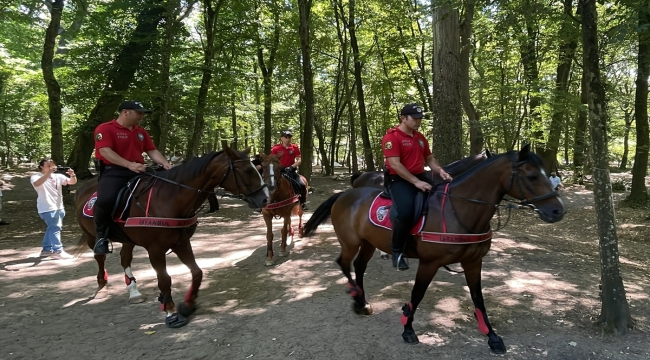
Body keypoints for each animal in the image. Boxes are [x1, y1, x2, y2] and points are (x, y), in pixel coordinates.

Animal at [74, 145, 268, 328]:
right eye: (248, 171)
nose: (265, 199)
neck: (168, 199)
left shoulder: (182, 243)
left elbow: (197, 272)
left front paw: (187, 305)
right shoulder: (155, 250)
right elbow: (165, 280)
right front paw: (171, 312)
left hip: (128, 239)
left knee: (125, 258)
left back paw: (134, 291)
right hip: (91, 235)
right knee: (99, 256)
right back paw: (102, 286)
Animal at [304, 144, 560, 354]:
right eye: (532, 176)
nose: (558, 210)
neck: (459, 209)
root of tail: (344, 194)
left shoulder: (473, 261)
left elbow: (478, 298)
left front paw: (492, 336)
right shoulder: (429, 263)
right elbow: (417, 294)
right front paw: (408, 329)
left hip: (368, 242)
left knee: (359, 266)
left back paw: (363, 302)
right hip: (350, 242)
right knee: (344, 263)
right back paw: (357, 300)